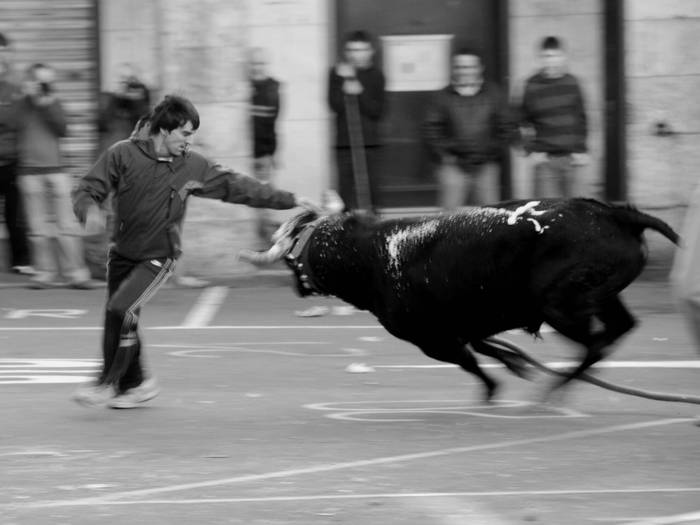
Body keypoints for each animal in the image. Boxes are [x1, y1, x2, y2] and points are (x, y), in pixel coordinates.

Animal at [241, 199, 680, 400]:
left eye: (298, 252)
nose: (296, 284)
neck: (371, 256)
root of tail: (616, 213)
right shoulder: (464, 325)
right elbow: (484, 347)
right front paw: (514, 364)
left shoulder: (432, 339)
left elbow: (471, 362)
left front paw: (493, 387)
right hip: (601, 298)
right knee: (617, 330)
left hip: (562, 306)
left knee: (595, 343)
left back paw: (551, 392)